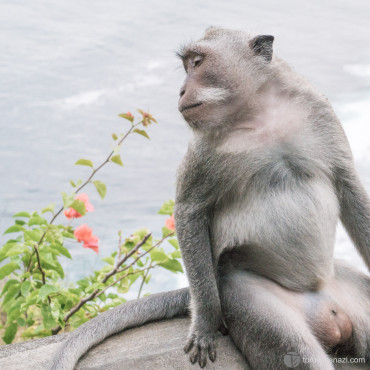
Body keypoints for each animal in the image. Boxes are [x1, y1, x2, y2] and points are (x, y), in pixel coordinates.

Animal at [49, 28, 370, 370]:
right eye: (187, 64)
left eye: (198, 62)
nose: (181, 90)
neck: (259, 114)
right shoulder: (204, 149)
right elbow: (190, 211)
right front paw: (205, 323)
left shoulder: (319, 111)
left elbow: (349, 186)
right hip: (243, 297)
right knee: (293, 349)